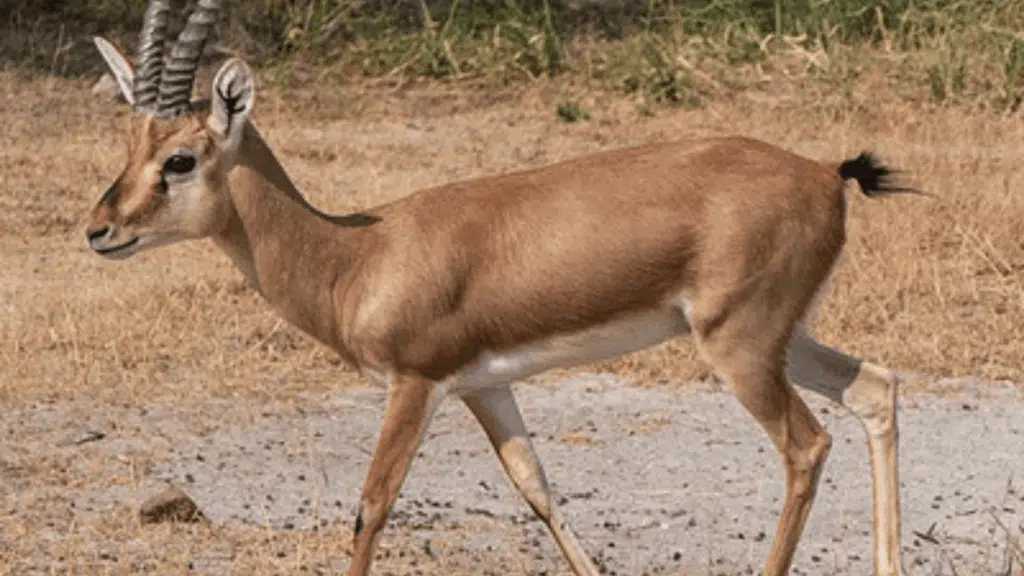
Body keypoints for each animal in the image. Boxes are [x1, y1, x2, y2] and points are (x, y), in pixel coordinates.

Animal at [85, 1, 915, 574]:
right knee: (875, 386)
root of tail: (823, 175)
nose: (100, 229)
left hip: (739, 347)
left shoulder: (415, 383)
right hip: (782, 337)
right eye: (129, 145)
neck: (360, 255)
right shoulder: (486, 386)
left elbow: (372, 506)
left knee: (806, 445)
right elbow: (537, 488)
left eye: (182, 158)